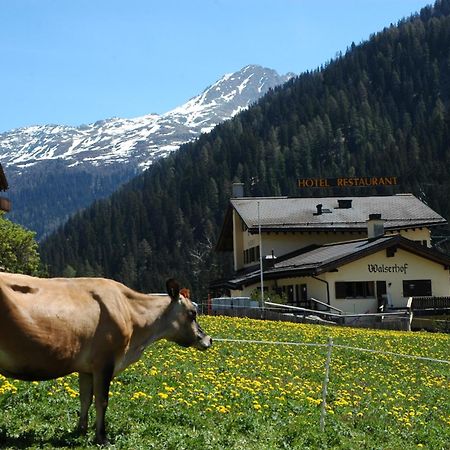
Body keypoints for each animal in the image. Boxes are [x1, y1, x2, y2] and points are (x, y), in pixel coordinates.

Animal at [0, 272, 212, 444]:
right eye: (192, 313)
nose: (208, 339)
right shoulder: (105, 362)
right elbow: (102, 400)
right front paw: (102, 437)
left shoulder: (86, 368)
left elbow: (85, 399)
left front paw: (81, 430)